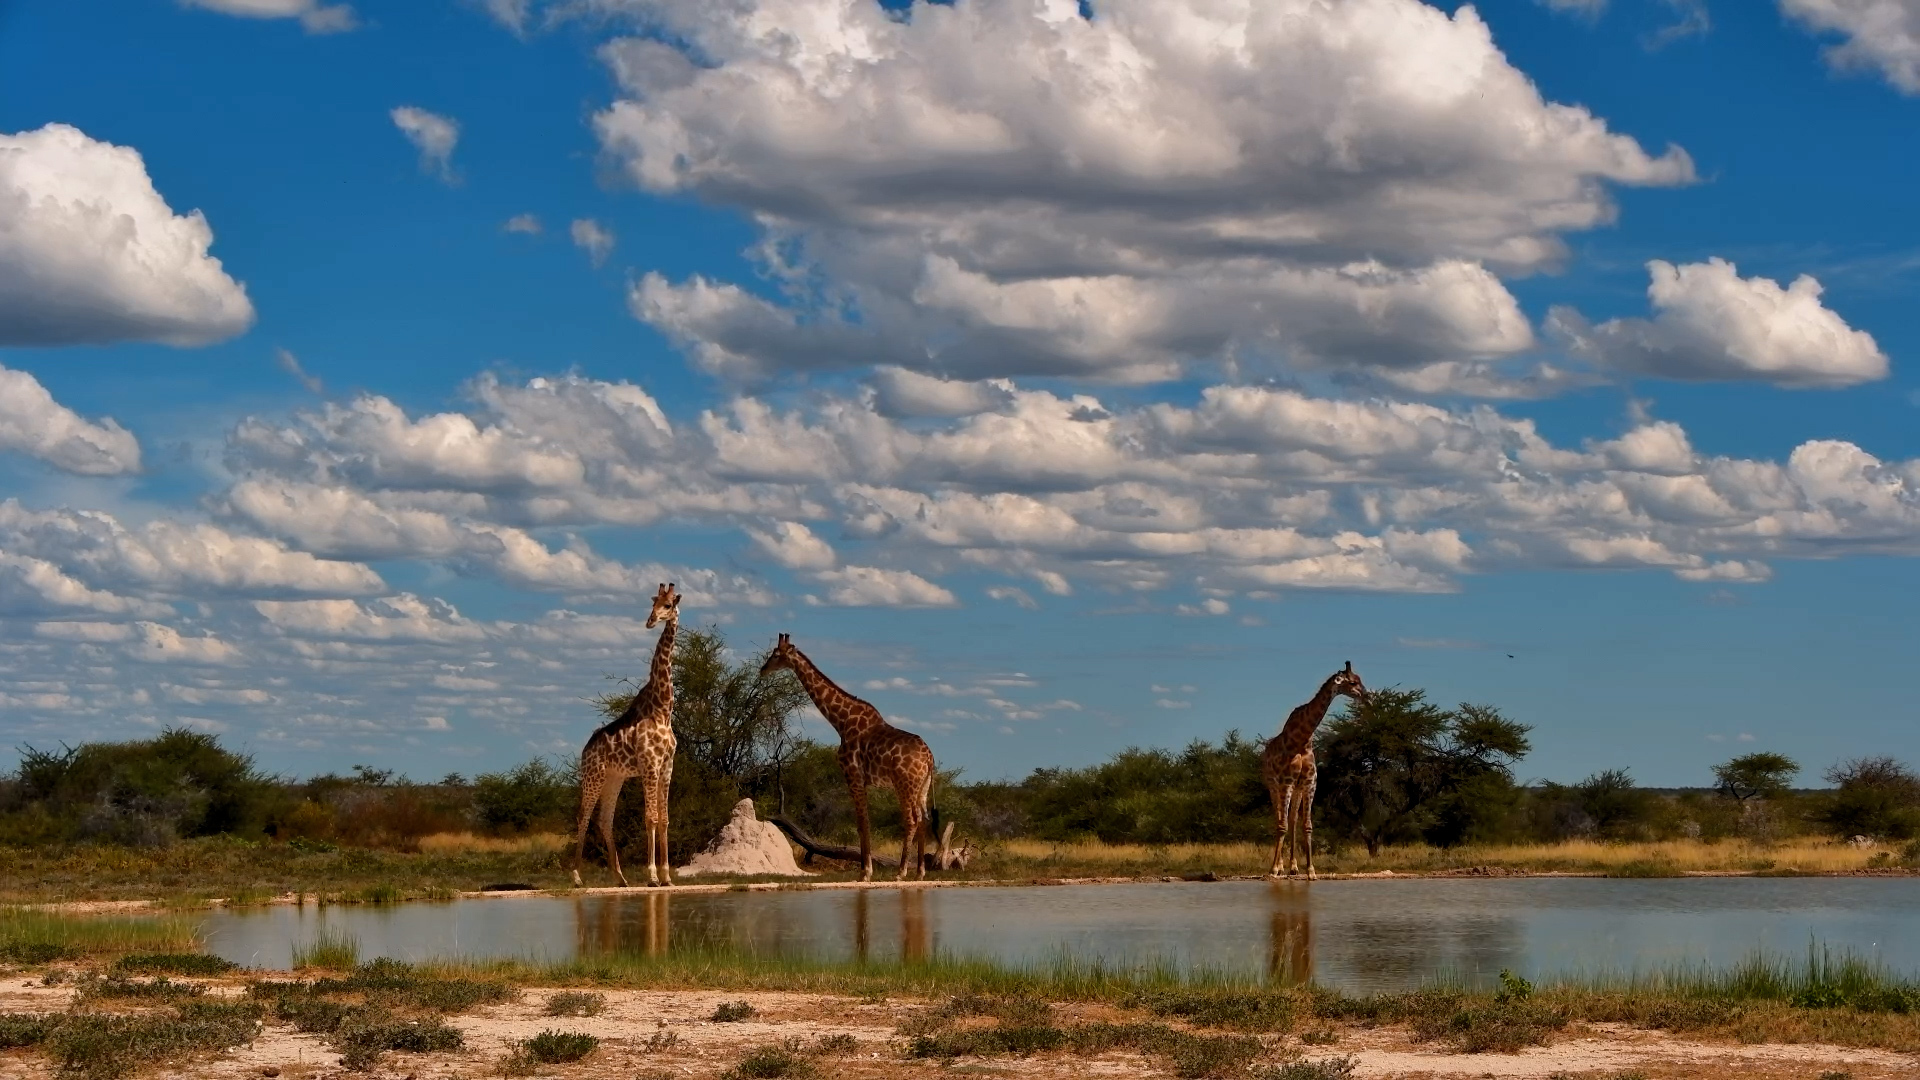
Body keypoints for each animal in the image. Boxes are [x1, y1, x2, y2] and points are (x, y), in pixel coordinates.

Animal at [571, 583, 681, 888]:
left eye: (668, 605)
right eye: (653, 603)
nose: (650, 621)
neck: (662, 710)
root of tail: (585, 750)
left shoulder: (667, 766)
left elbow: (665, 819)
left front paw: (668, 877)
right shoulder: (650, 765)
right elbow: (651, 818)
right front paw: (653, 875)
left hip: (614, 778)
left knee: (604, 820)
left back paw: (620, 877)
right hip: (593, 776)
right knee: (583, 817)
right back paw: (576, 877)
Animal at [759, 633, 937, 882]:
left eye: (776, 655)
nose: (762, 670)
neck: (841, 722)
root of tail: (929, 757)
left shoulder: (853, 776)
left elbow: (862, 823)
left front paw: (865, 872)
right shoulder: (860, 780)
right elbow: (864, 823)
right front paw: (866, 870)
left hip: (904, 784)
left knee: (912, 820)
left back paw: (901, 872)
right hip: (922, 786)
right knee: (923, 820)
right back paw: (920, 872)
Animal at [1262, 661, 1369, 880]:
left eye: (1360, 679)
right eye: (1353, 682)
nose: (1368, 696)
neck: (1302, 741)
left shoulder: (1309, 783)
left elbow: (1306, 826)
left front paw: (1310, 870)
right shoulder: (1285, 782)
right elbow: (1282, 825)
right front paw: (1274, 869)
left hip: (1296, 789)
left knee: (1292, 820)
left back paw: (1293, 867)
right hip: (1273, 787)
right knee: (1279, 820)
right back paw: (1279, 867)